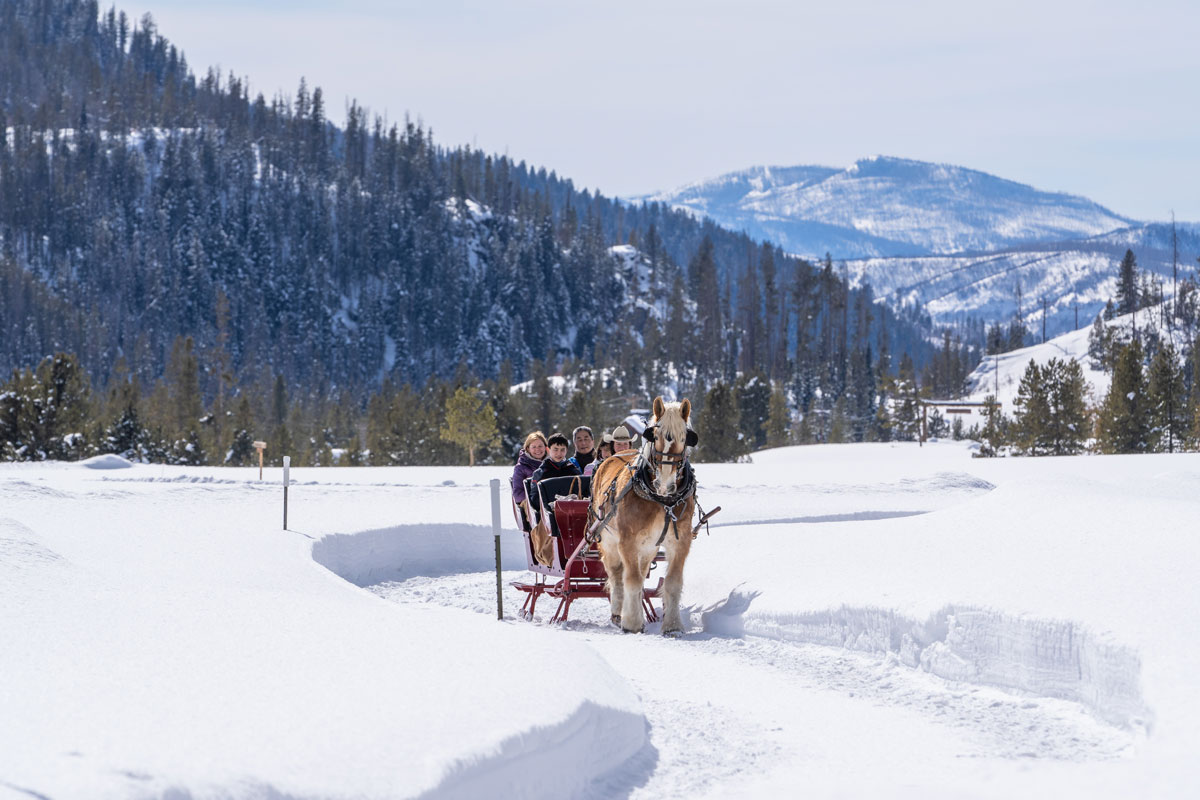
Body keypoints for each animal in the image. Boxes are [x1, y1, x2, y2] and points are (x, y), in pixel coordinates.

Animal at [589, 396, 700, 635]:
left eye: (684, 438)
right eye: (655, 436)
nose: (665, 483)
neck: (662, 500)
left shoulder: (681, 541)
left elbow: (672, 582)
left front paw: (673, 625)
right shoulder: (627, 541)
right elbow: (631, 579)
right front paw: (631, 622)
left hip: (649, 547)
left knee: (640, 570)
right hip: (608, 541)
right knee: (616, 575)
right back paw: (618, 612)